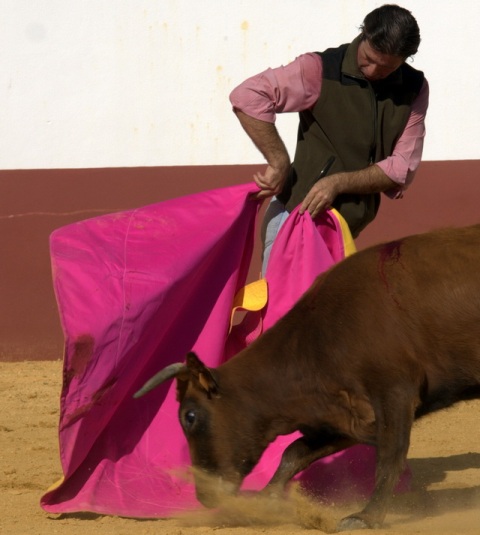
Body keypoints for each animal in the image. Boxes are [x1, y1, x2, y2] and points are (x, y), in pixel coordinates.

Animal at [134, 223, 480, 532]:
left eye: (189, 416)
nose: (204, 496)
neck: (321, 336)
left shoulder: (394, 392)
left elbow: (390, 454)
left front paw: (365, 517)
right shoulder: (347, 415)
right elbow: (295, 452)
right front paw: (264, 502)